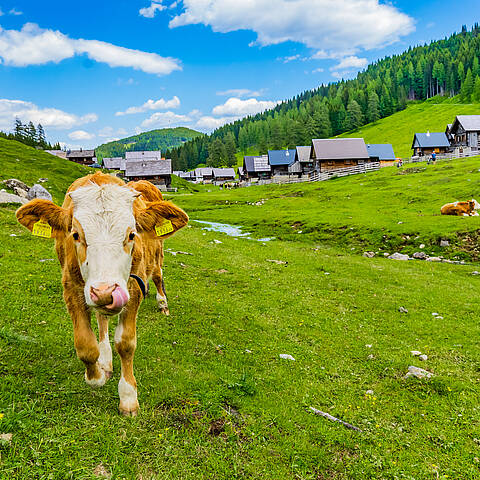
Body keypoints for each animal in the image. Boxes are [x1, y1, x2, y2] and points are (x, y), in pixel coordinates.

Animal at [15, 173, 188, 416]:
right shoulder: (72, 289)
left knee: (158, 274)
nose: (106, 292)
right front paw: (97, 374)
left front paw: (128, 398)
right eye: (75, 234)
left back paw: (163, 303)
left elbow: (126, 343)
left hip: (157, 251)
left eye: (132, 234)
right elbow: (86, 346)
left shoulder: (134, 288)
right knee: (102, 320)